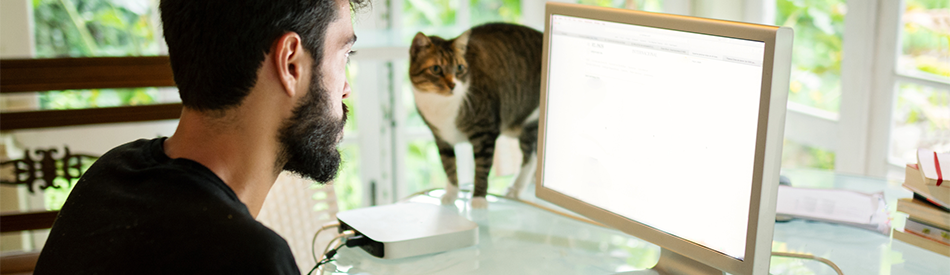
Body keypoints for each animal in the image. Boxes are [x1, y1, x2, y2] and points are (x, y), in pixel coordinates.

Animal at [410, 23, 544, 209]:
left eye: (459, 68)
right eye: (436, 69)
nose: (453, 85)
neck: (441, 106)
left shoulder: (485, 132)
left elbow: (481, 169)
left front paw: (479, 198)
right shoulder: (440, 138)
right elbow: (448, 166)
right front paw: (451, 194)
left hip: (530, 119)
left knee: (530, 155)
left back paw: (516, 188)